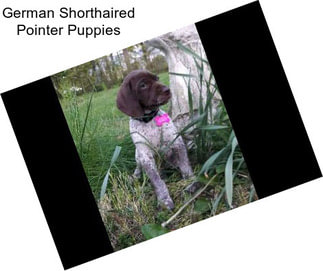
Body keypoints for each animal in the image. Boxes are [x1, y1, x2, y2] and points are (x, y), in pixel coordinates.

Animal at [117, 70, 194, 210]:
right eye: (143, 85)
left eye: (157, 78)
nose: (167, 90)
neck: (149, 121)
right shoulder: (145, 156)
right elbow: (157, 181)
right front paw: (164, 200)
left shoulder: (177, 143)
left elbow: (185, 165)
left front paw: (192, 181)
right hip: (138, 155)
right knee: (139, 168)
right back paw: (135, 177)